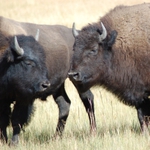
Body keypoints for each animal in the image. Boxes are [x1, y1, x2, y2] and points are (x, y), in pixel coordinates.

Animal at [0, 16, 96, 144]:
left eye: (43, 59)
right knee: (64, 104)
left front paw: (14, 143)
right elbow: (3, 120)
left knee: (87, 99)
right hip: (59, 86)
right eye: (28, 62)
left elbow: (17, 120)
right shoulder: (3, 98)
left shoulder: (25, 98)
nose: (44, 84)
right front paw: (3, 141)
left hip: (77, 79)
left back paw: (92, 132)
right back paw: (56, 137)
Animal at [69, 2, 150, 132]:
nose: (73, 75)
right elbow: (142, 115)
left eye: (93, 49)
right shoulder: (139, 92)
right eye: (74, 48)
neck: (114, 46)